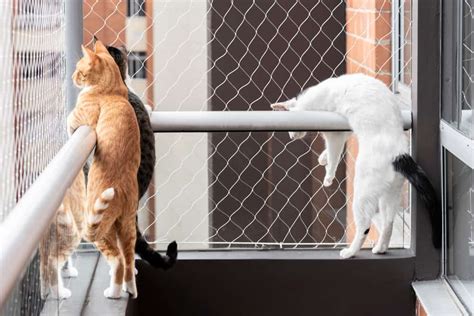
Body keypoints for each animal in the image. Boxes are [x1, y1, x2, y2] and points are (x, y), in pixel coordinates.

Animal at [67, 40, 141, 298]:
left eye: (79, 70)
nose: (72, 77)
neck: (113, 90)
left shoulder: (80, 117)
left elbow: (68, 121)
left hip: (99, 228)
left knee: (118, 260)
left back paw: (114, 292)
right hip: (127, 226)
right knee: (129, 260)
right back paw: (129, 289)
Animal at [272, 74, 438, 260]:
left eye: (291, 127)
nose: (291, 137)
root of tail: (400, 154)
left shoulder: (334, 134)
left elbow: (334, 155)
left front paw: (328, 176)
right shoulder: (343, 131)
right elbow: (333, 149)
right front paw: (323, 158)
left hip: (363, 192)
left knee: (365, 225)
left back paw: (350, 251)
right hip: (389, 195)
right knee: (388, 222)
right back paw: (380, 248)